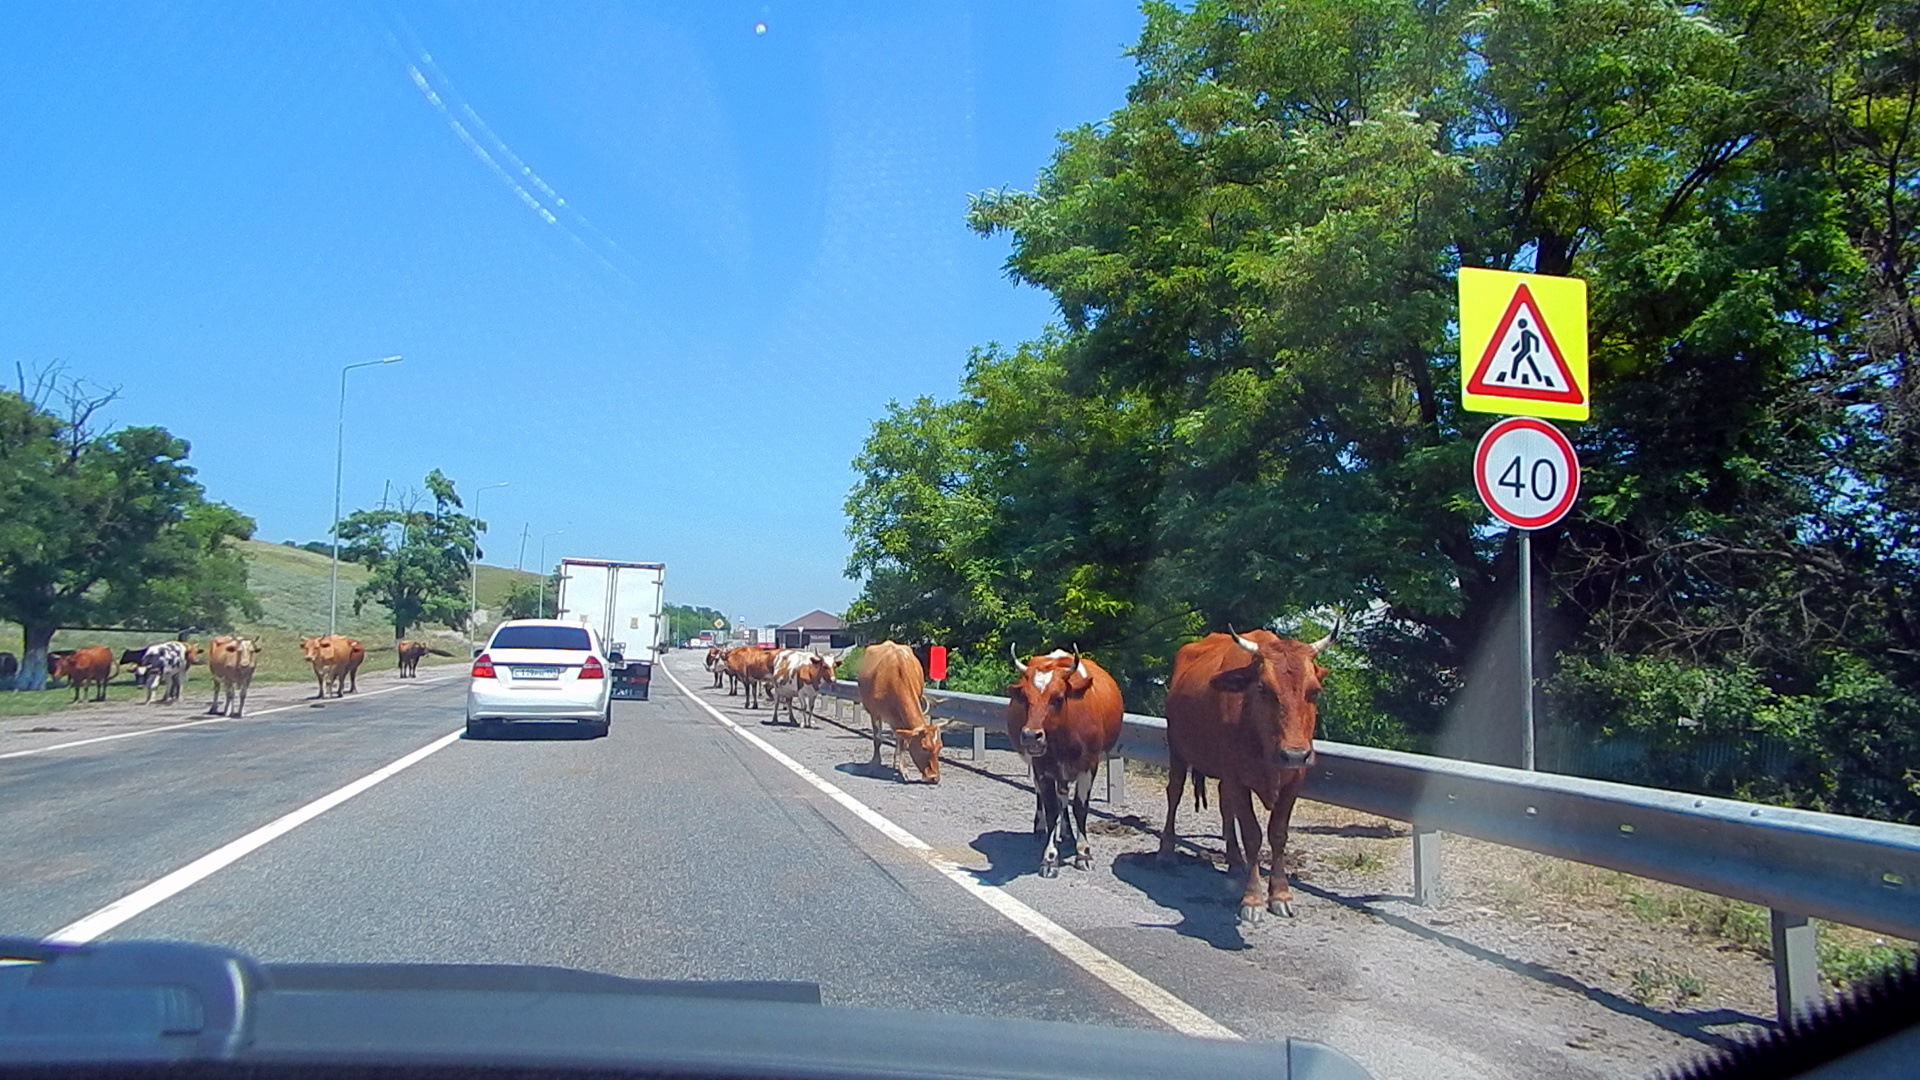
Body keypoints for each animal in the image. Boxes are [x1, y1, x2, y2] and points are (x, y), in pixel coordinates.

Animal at [856, 638, 944, 780]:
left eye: (940, 747)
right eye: (924, 748)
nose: (934, 777)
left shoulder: (902, 718)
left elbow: (903, 742)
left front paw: (903, 769)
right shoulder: (875, 713)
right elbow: (877, 739)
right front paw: (874, 764)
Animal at [1006, 641, 1121, 868]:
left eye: (1058, 698)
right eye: (1025, 698)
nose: (1031, 735)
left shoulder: (1089, 765)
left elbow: (1080, 808)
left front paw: (1083, 852)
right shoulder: (1042, 767)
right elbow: (1051, 808)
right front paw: (1050, 857)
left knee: (1064, 796)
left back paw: (1067, 833)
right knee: (1045, 795)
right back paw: (1041, 828)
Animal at [1159, 626, 1328, 922]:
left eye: (1315, 691)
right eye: (1262, 688)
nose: (1295, 754)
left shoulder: (1294, 781)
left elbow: (1277, 834)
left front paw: (1280, 894)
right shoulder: (1238, 779)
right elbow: (1252, 834)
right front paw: (1253, 899)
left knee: (1225, 804)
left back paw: (1234, 859)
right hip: (1178, 751)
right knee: (1175, 793)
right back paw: (1166, 851)